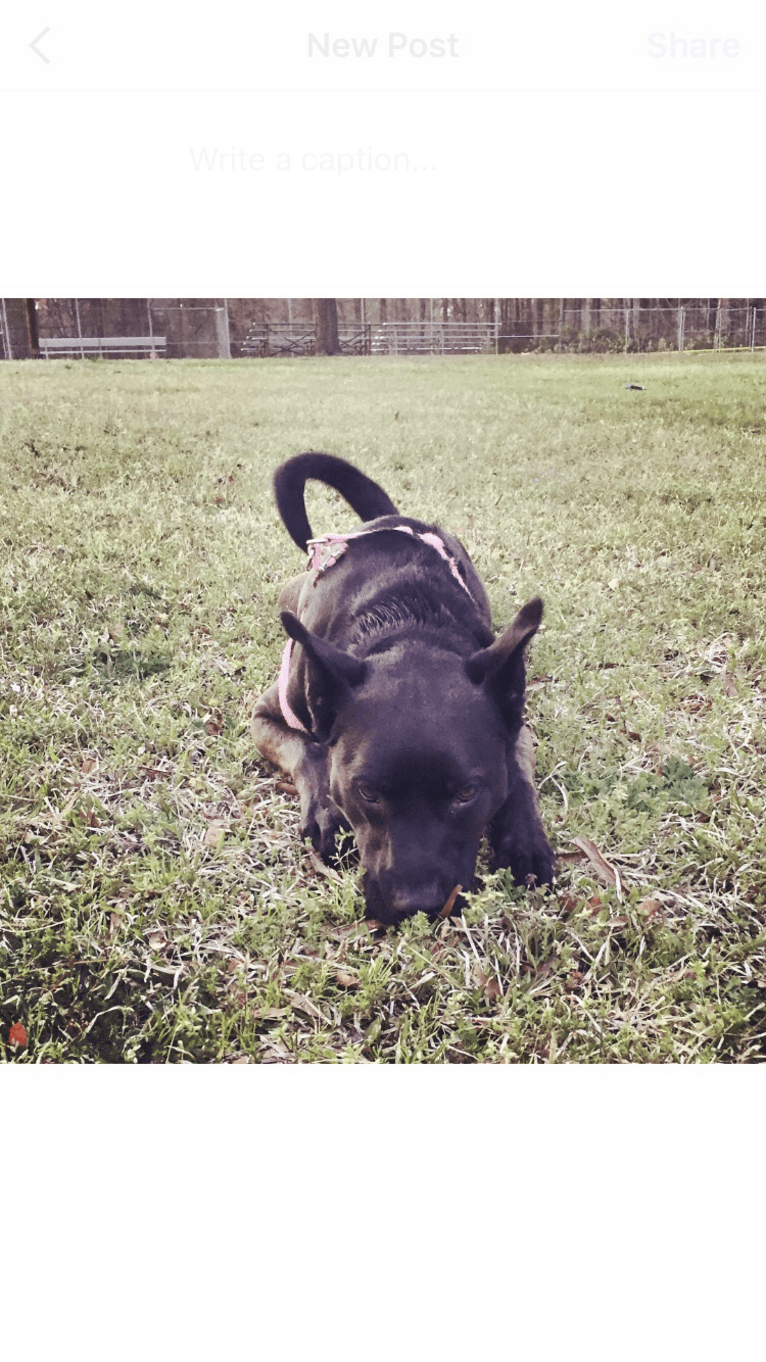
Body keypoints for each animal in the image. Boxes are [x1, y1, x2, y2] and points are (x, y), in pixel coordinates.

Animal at [252, 457, 553, 926]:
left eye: (466, 794)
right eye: (367, 794)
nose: (418, 907)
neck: (408, 624)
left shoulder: (516, 721)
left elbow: (519, 776)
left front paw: (524, 840)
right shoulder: (265, 714)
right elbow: (309, 750)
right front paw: (325, 812)